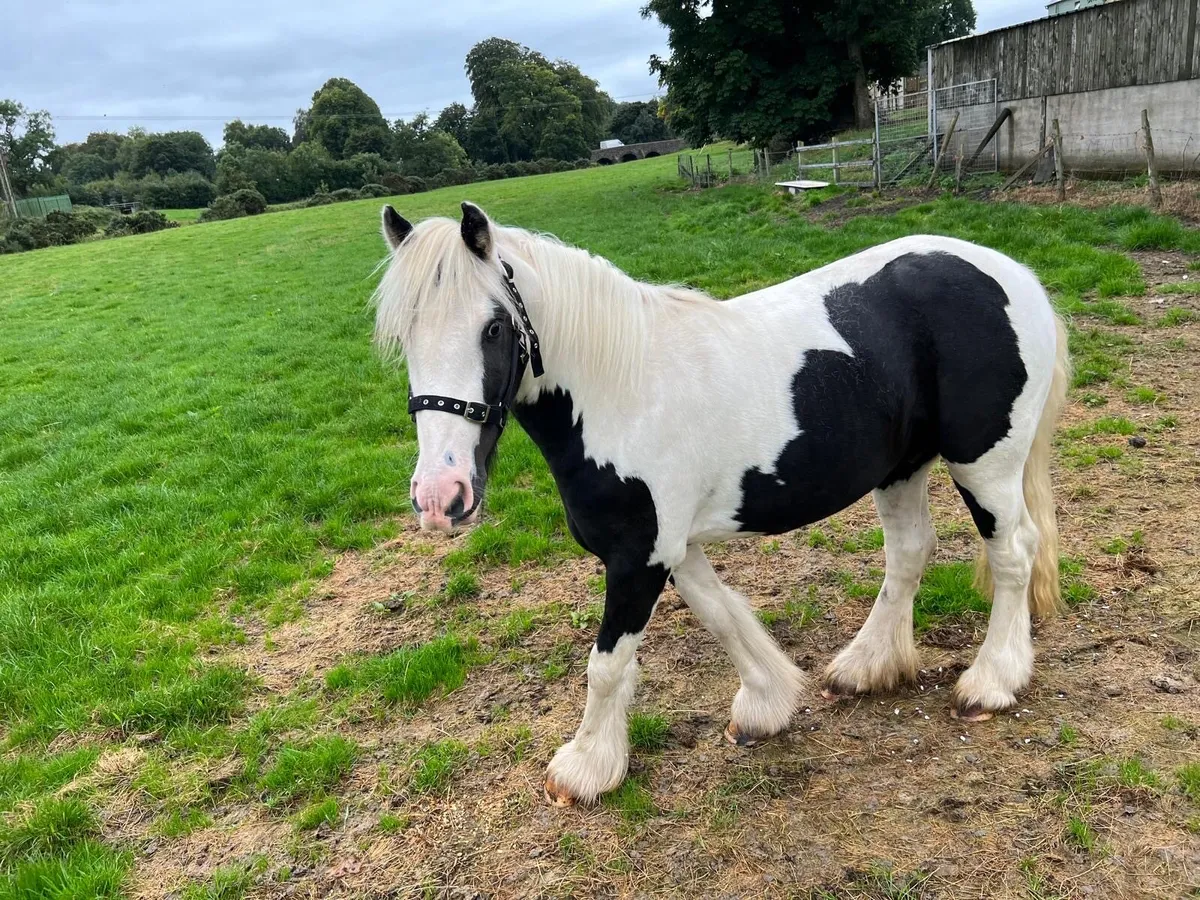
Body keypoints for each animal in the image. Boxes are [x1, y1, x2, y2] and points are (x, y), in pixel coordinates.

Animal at [372, 201, 1070, 807]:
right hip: (900, 468)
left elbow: (608, 664)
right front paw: (766, 704)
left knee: (1013, 554)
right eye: (405, 333)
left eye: (493, 327)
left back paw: (992, 681)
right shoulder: (671, 546)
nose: (440, 497)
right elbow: (721, 614)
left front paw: (586, 768)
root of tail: (1015, 275)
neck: (621, 391)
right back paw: (867, 666)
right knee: (908, 553)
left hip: (985, 465)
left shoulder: (638, 557)